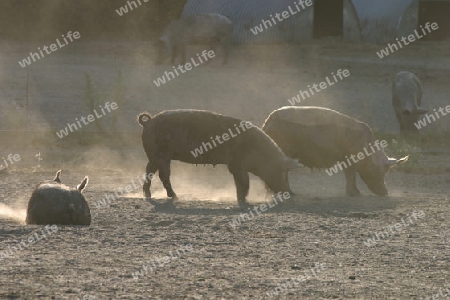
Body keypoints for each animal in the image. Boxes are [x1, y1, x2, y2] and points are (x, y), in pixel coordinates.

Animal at [137, 110, 298, 206]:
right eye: (283, 172)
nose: (291, 193)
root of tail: (148, 122)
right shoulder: (236, 164)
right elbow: (244, 182)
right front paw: (243, 200)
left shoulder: (237, 166)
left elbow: (240, 183)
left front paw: (240, 199)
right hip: (160, 154)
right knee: (163, 175)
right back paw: (174, 196)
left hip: (155, 156)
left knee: (150, 171)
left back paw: (149, 194)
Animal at [262, 106, 410, 196]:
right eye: (380, 171)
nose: (385, 192)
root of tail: (267, 121)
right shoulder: (349, 159)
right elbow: (350, 175)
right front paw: (354, 195)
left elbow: (352, 176)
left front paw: (357, 193)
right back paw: (289, 193)